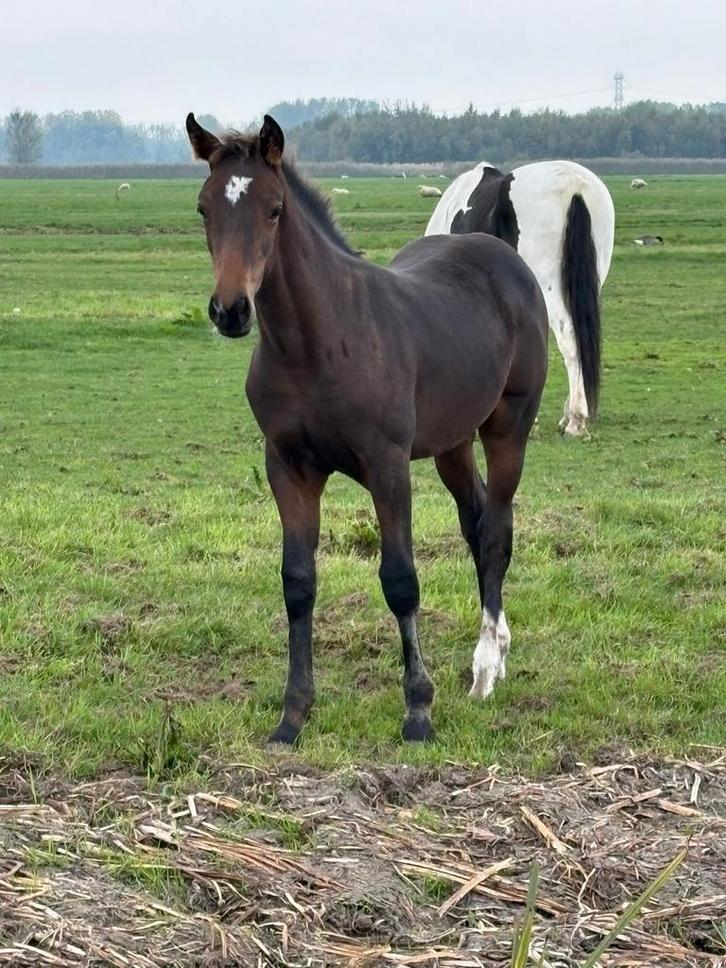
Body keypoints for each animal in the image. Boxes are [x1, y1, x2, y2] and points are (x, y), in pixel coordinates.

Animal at [185, 113, 548, 744]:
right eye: (205, 207)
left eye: (274, 209)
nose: (230, 311)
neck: (316, 342)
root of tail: (502, 255)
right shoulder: (288, 468)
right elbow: (297, 581)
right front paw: (293, 715)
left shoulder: (387, 466)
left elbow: (400, 579)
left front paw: (418, 710)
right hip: (452, 443)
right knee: (477, 522)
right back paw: (496, 651)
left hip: (508, 428)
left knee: (498, 530)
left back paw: (484, 668)